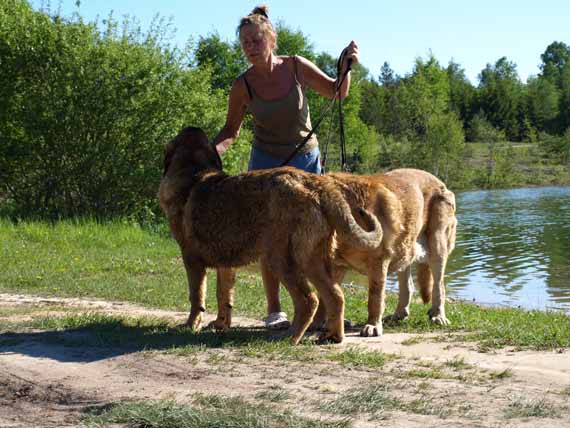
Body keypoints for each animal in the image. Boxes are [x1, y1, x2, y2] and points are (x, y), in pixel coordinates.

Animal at [158, 125, 382, 342]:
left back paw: (290, 336)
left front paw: (190, 325)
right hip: (315, 259)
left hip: (282, 258)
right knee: (335, 296)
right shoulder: (225, 262)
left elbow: (196, 296)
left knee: (308, 300)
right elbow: (223, 294)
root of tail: (320, 186)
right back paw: (332, 336)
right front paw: (221, 324)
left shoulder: (191, 258)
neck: (193, 171)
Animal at [211, 167, 454, 338]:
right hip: (406, 249)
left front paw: (372, 325)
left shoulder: (379, 261)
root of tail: (440, 181)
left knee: (439, 286)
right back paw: (399, 313)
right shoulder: (335, 265)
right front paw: (319, 323)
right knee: (407, 283)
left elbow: (374, 297)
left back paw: (438, 316)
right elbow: (325, 297)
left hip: (437, 246)